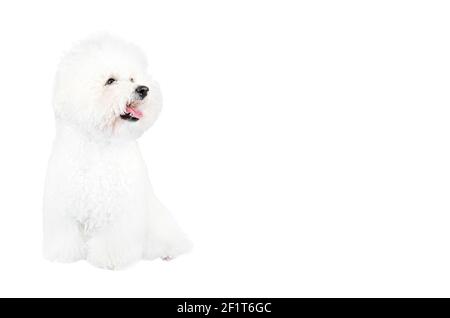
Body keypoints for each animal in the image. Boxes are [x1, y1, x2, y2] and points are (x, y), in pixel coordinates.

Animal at [44, 34, 193, 268]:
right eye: (110, 81)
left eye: (132, 79)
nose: (143, 89)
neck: (100, 143)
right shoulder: (64, 206)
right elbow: (66, 236)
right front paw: (65, 255)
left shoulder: (120, 210)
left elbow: (113, 239)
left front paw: (110, 260)